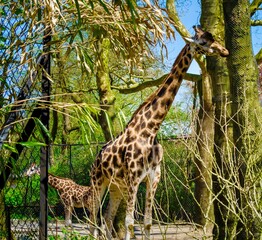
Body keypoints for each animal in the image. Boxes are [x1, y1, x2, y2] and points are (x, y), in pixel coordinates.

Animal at [89, 25, 228, 239]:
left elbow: (146, 222)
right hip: (98, 181)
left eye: (213, 38)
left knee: (106, 218)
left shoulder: (153, 177)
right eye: (204, 42)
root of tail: (97, 157)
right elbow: (130, 222)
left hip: (116, 187)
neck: (150, 130)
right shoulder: (133, 178)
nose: (225, 51)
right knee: (92, 219)